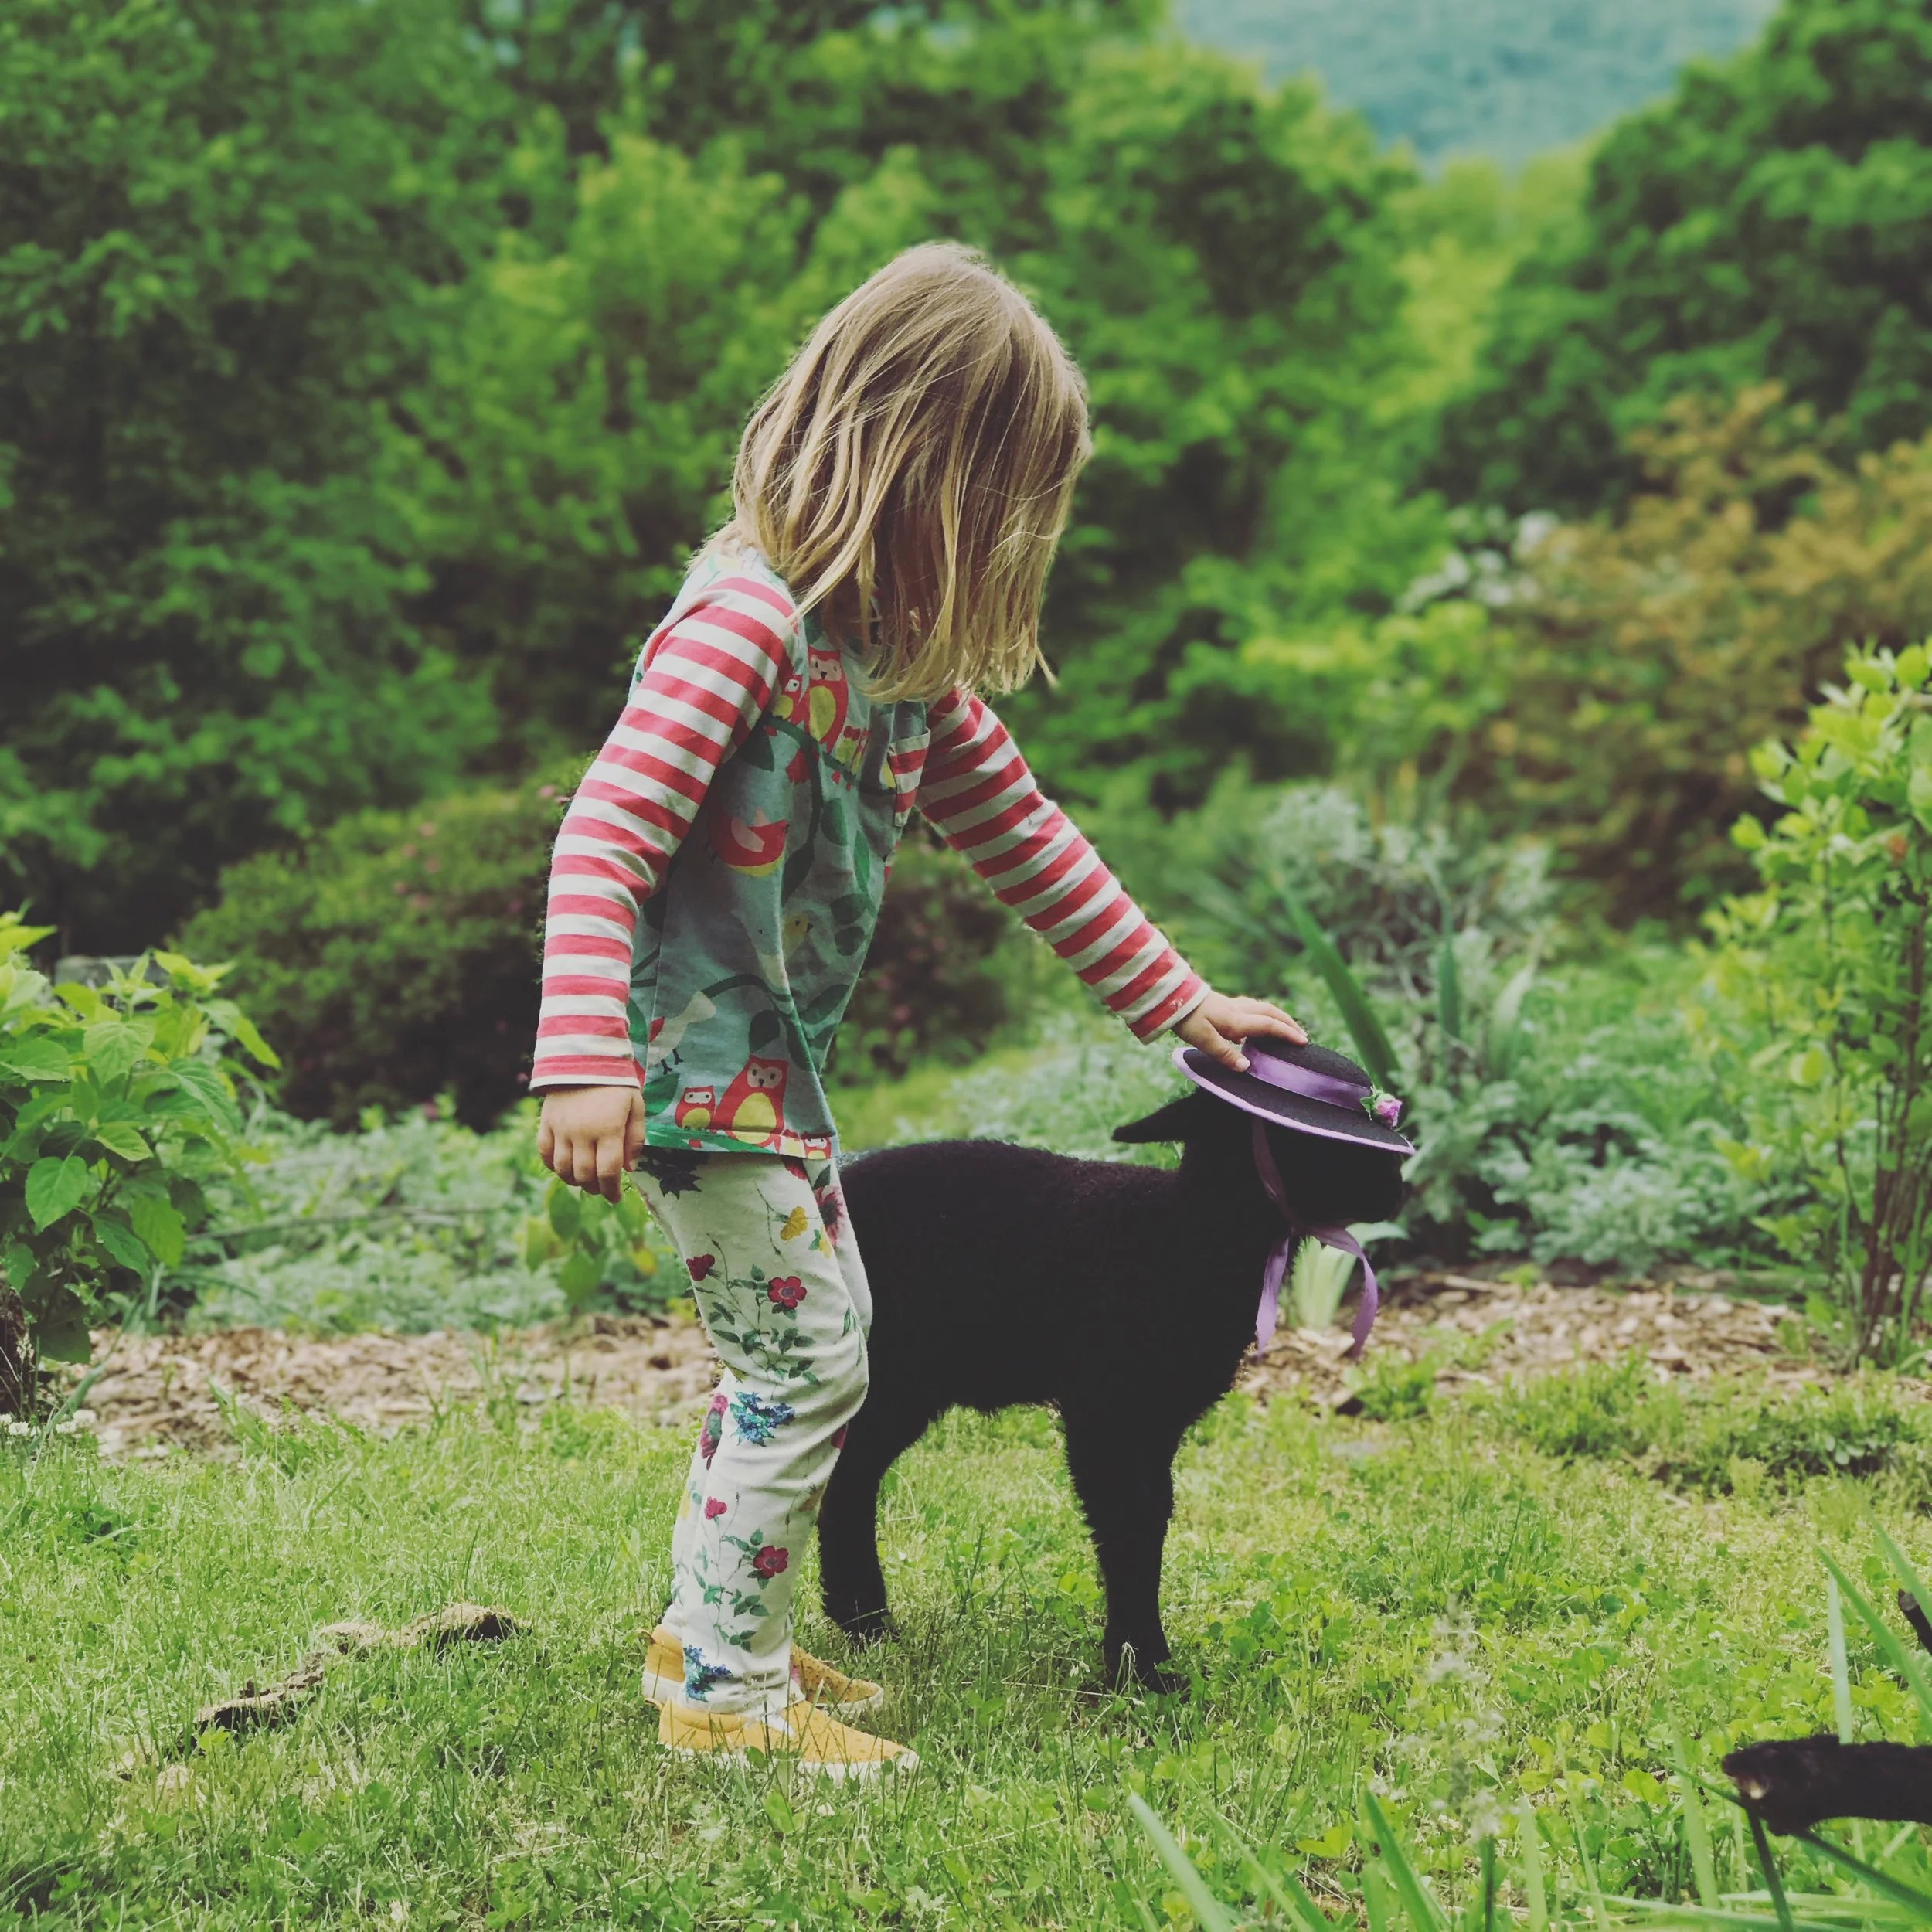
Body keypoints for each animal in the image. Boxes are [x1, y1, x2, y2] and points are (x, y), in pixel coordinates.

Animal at [819, 1085, 1405, 1692]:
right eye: (1306, 1132)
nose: (1397, 1184)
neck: (1187, 1237)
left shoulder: (1156, 1421)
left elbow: (1154, 1516)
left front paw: (1144, 1661)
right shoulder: (1105, 1412)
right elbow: (1128, 1524)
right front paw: (1141, 1667)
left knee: (849, 1478)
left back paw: (864, 1623)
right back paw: (864, 1622)